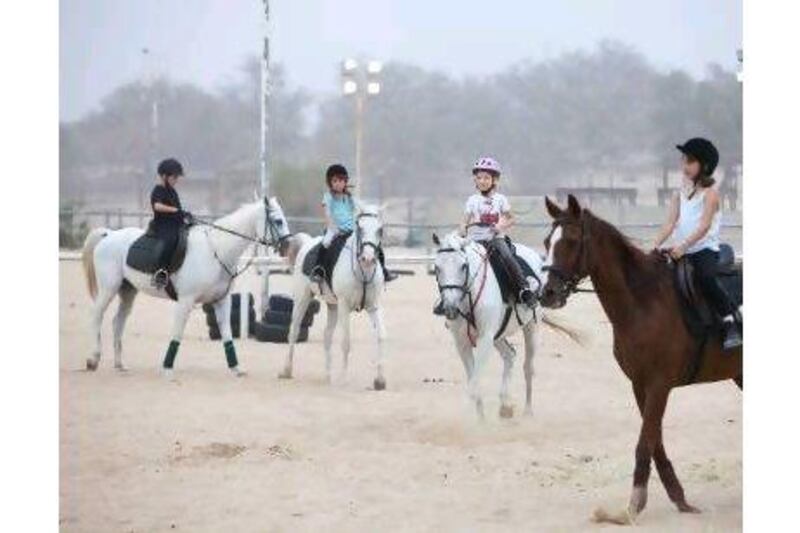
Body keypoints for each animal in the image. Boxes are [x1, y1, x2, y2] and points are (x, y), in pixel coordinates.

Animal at [80, 197, 290, 376]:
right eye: (278, 221)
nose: (288, 247)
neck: (216, 251)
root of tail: (109, 234)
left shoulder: (221, 301)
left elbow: (227, 334)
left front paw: (236, 368)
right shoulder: (186, 301)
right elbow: (177, 333)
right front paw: (167, 368)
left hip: (128, 291)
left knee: (118, 322)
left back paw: (120, 364)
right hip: (109, 288)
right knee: (96, 316)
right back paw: (93, 360)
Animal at [282, 203, 388, 386]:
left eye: (379, 230)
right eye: (360, 228)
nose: (368, 259)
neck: (363, 272)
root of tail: (307, 243)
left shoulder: (373, 306)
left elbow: (380, 336)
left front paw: (380, 381)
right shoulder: (345, 306)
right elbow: (346, 342)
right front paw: (343, 379)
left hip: (333, 305)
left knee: (327, 336)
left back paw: (328, 376)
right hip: (303, 298)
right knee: (294, 331)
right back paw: (287, 371)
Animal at [434, 231, 580, 418]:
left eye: (463, 266)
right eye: (437, 268)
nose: (450, 307)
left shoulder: (485, 339)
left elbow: (474, 386)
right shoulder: (462, 343)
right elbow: (474, 383)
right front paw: (481, 420)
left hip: (532, 327)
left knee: (528, 369)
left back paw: (527, 412)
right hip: (498, 335)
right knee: (510, 355)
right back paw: (505, 406)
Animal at [540, 195, 740, 524]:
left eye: (571, 241)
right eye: (547, 242)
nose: (547, 293)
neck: (643, 301)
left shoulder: (659, 384)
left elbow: (644, 443)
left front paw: (631, 507)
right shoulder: (640, 385)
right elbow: (653, 440)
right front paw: (679, 498)